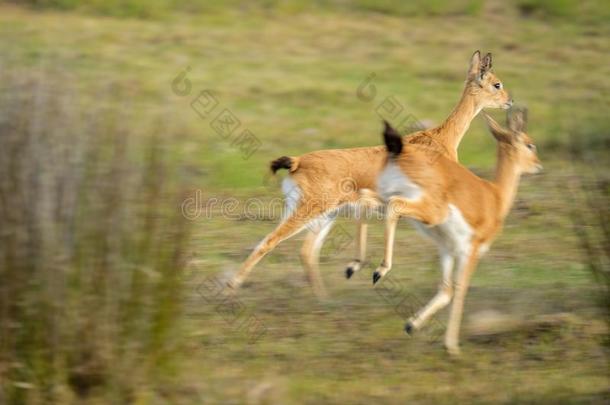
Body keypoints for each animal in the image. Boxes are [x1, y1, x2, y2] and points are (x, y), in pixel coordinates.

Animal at [226, 51, 510, 296]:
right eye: (497, 83)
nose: (510, 101)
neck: (440, 140)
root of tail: (297, 162)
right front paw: (375, 271)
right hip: (308, 211)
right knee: (270, 241)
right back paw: (232, 286)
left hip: (324, 216)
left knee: (306, 252)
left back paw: (323, 298)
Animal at [376, 108, 540, 354]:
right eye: (529, 144)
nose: (539, 165)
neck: (496, 197)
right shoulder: (471, 250)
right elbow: (460, 290)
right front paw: (452, 346)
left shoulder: (447, 249)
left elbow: (446, 290)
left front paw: (411, 325)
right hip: (431, 212)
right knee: (394, 206)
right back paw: (379, 271)